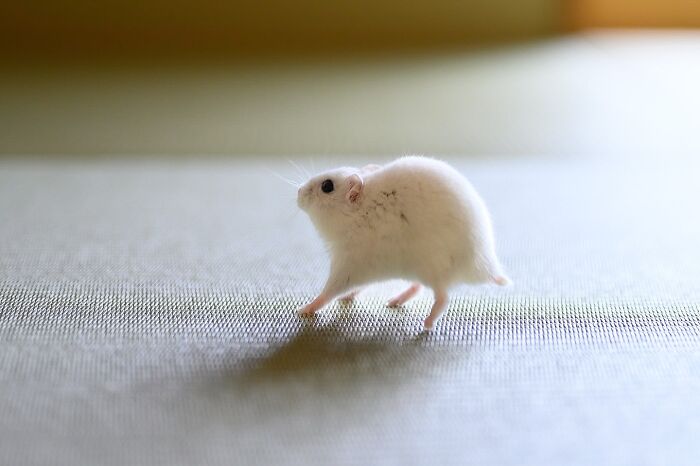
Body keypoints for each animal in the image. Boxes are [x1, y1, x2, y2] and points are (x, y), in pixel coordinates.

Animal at [296, 155, 509, 330]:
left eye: (326, 186)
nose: (298, 193)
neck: (358, 215)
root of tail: (487, 267)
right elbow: (355, 289)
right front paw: (346, 297)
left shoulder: (347, 266)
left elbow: (327, 293)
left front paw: (304, 309)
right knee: (417, 287)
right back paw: (396, 301)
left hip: (434, 270)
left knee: (443, 298)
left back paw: (428, 323)